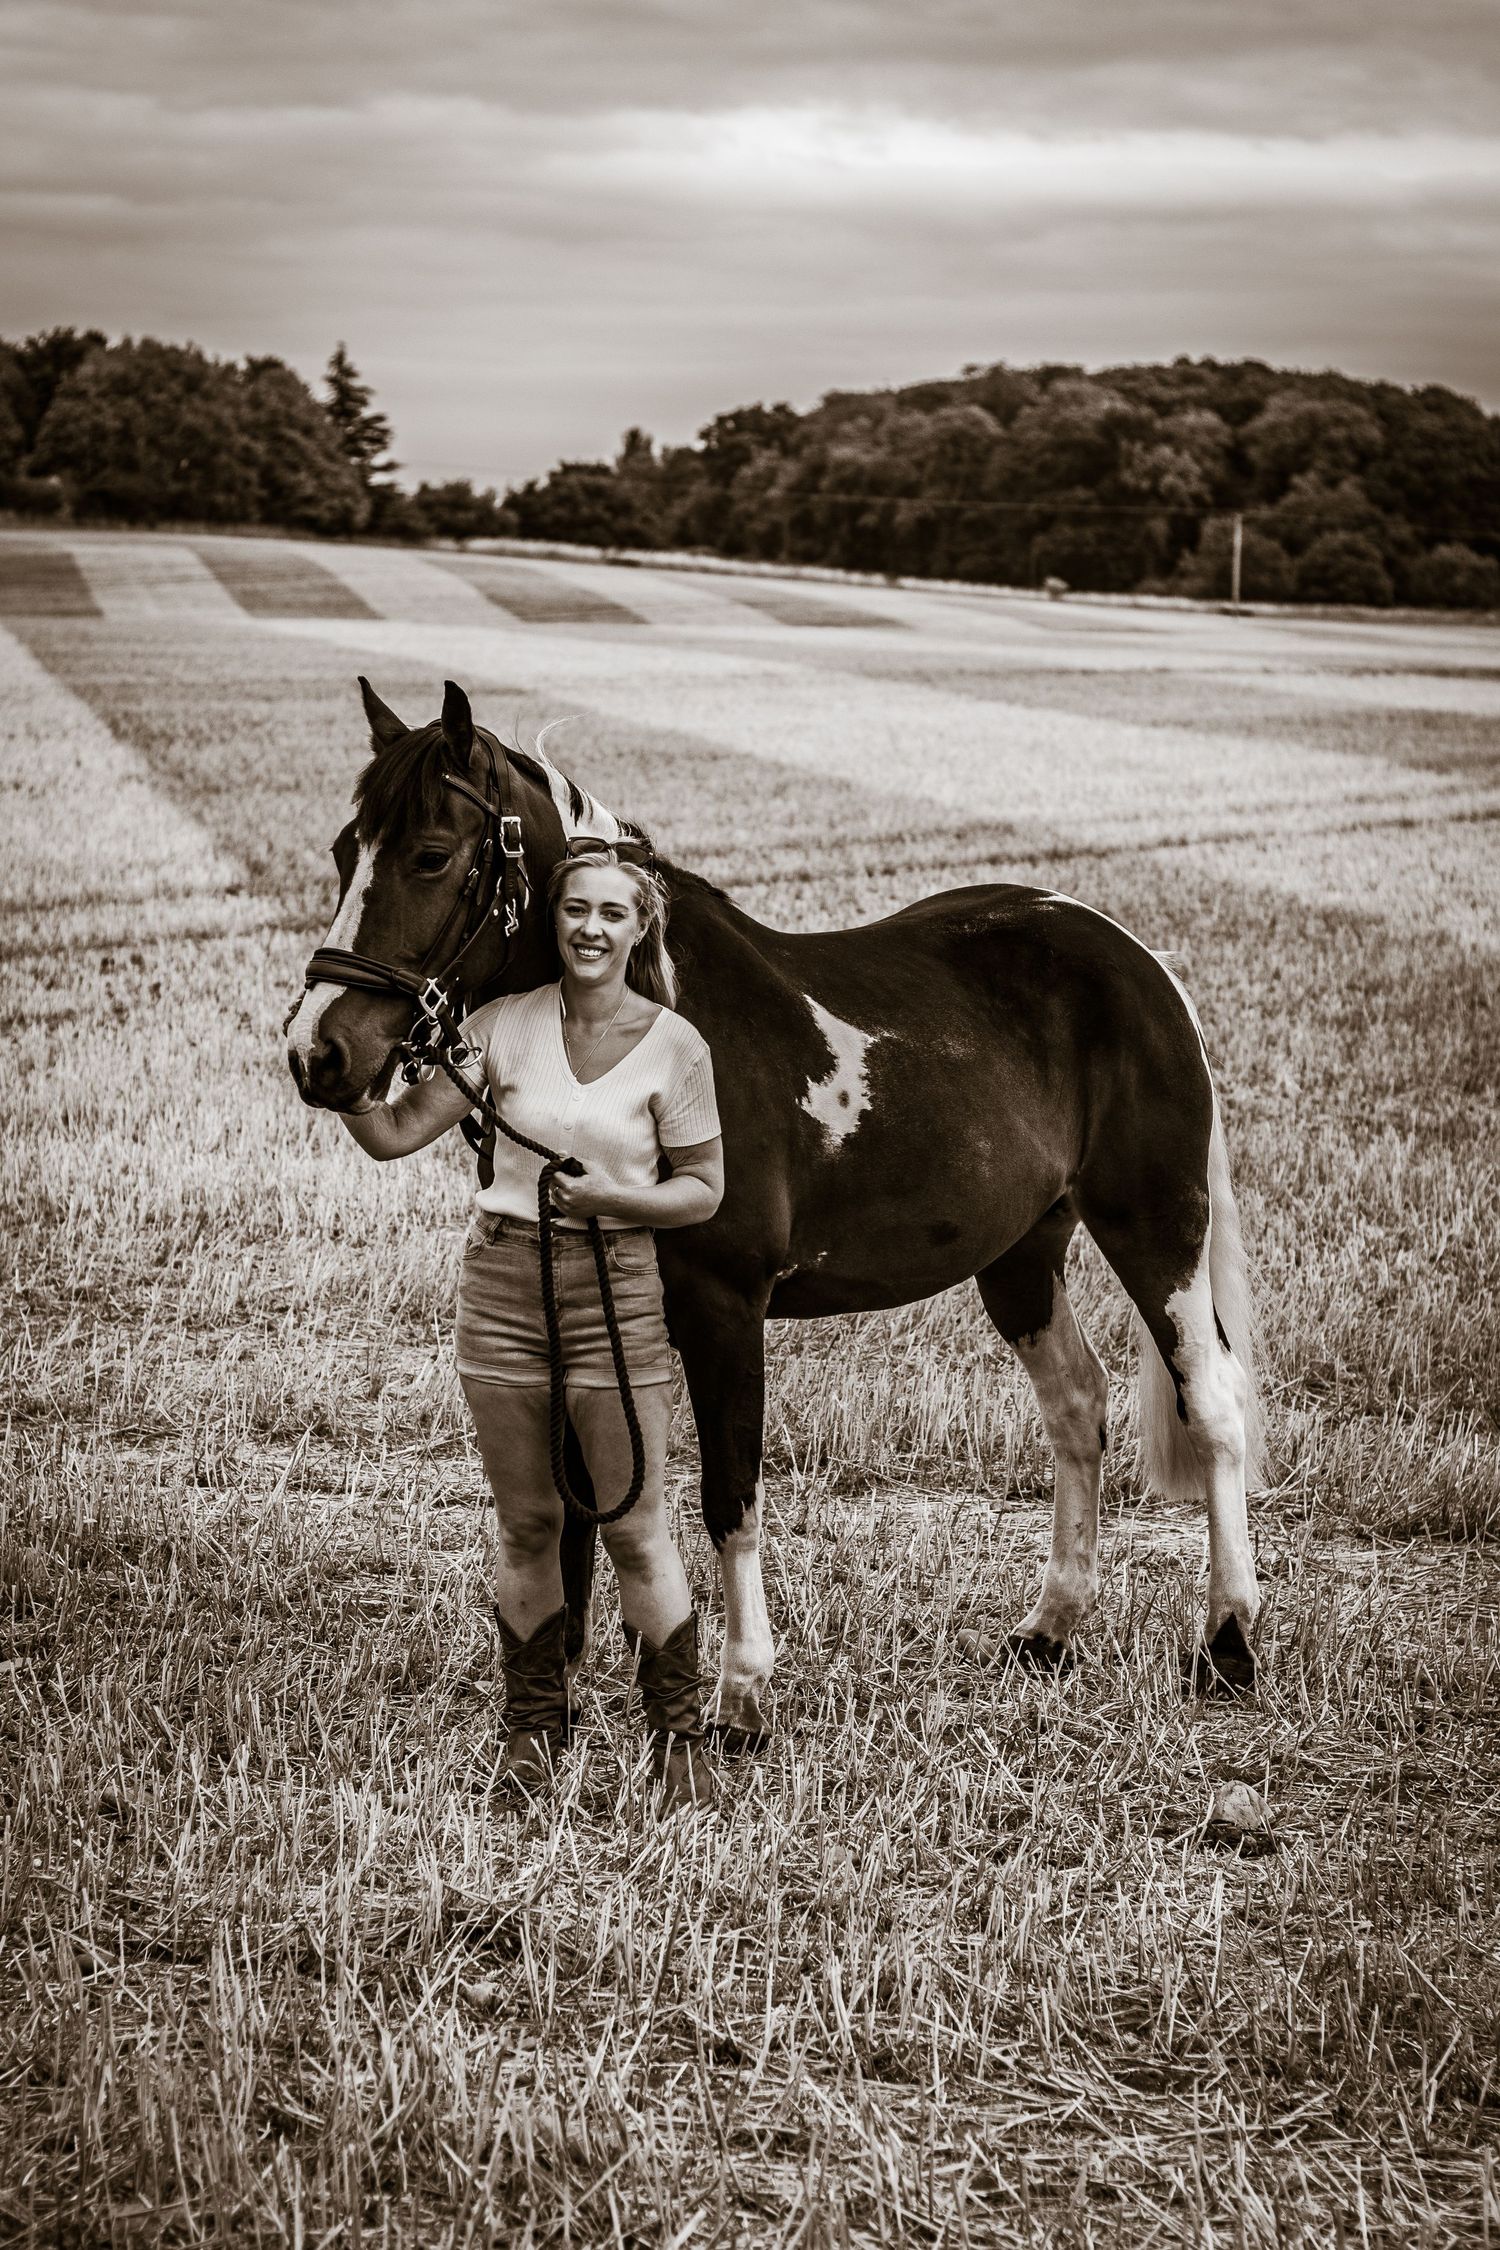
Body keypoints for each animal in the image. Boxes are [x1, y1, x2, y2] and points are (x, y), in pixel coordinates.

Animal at [287, 678, 1266, 1740]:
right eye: (343, 849)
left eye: (430, 854)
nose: (318, 1052)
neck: (679, 1015)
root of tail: (1137, 959)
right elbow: (584, 1494)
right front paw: (569, 1694)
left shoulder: (726, 1310)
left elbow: (729, 1493)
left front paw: (740, 1695)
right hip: (1021, 1256)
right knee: (1076, 1405)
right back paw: (1049, 1630)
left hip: (1155, 1225)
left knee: (1212, 1405)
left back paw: (1229, 1643)